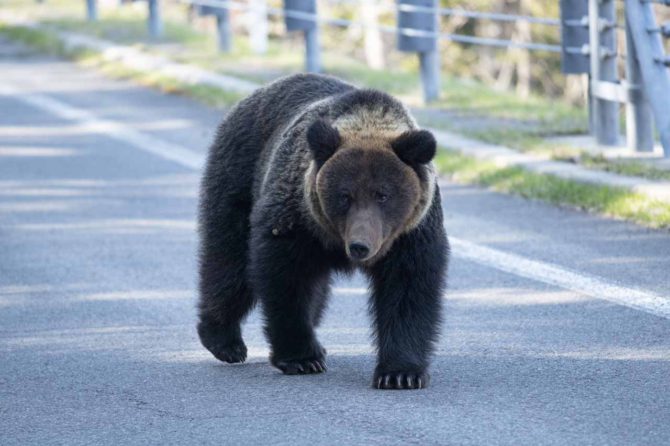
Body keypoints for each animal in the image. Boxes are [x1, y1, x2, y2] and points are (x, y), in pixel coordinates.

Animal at [200, 72, 452, 386]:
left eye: (383, 194)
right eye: (345, 195)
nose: (360, 246)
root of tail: (253, 95)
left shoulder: (411, 234)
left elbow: (408, 290)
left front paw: (400, 373)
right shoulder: (296, 221)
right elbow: (287, 280)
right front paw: (302, 358)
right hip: (239, 177)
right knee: (228, 261)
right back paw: (224, 341)